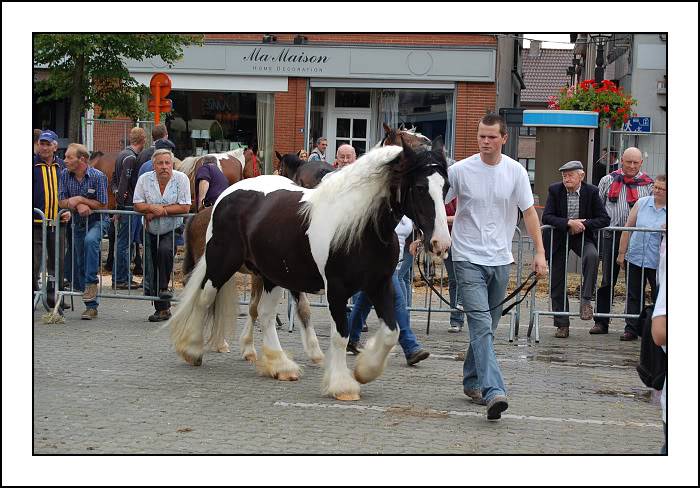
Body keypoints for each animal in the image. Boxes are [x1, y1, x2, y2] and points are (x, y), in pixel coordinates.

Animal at [170, 137, 448, 400]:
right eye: (420, 187)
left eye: (445, 187)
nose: (440, 243)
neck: (361, 225)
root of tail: (224, 197)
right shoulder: (336, 289)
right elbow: (341, 335)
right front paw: (342, 385)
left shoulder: (379, 284)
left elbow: (392, 331)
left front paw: (364, 371)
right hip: (221, 264)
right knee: (205, 298)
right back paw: (193, 350)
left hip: (271, 275)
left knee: (264, 314)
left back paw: (281, 366)